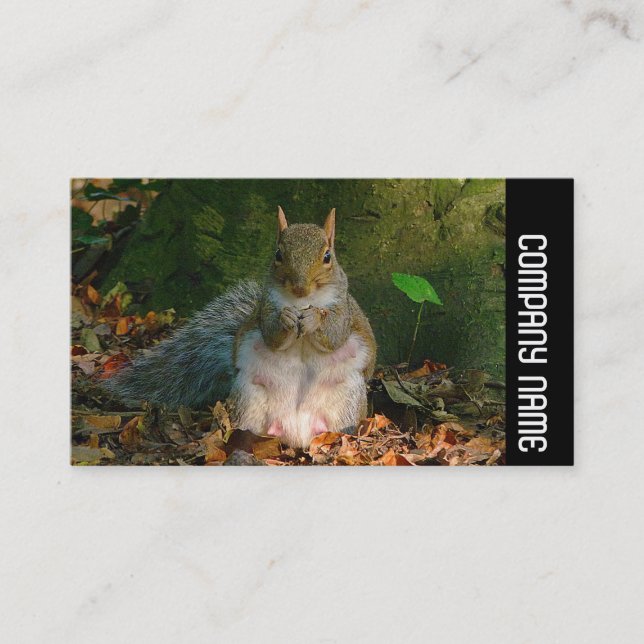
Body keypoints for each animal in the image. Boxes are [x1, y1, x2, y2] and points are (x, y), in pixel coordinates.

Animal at [104, 207, 377, 449]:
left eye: (327, 256)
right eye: (278, 254)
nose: (300, 287)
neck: (301, 301)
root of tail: (296, 432)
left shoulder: (344, 311)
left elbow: (335, 334)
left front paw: (313, 319)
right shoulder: (266, 308)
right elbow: (272, 334)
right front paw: (287, 318)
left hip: (347, 398)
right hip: (249, 396)